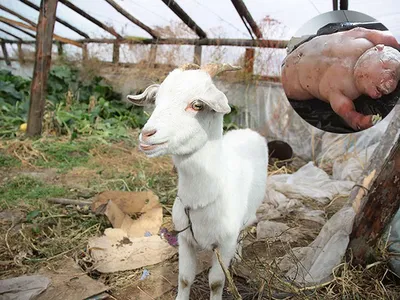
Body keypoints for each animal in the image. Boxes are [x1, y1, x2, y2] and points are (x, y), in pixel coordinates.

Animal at [126, 63, 268, 300]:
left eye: (197, 105)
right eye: (156, 100)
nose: (147, 135)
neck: (202, 199)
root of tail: (247, 131)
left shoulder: (225, 243)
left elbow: (216, 282)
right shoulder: (185, 239)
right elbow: (185, 278)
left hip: (249, 213)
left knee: (244, 230)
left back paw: (238, 256)